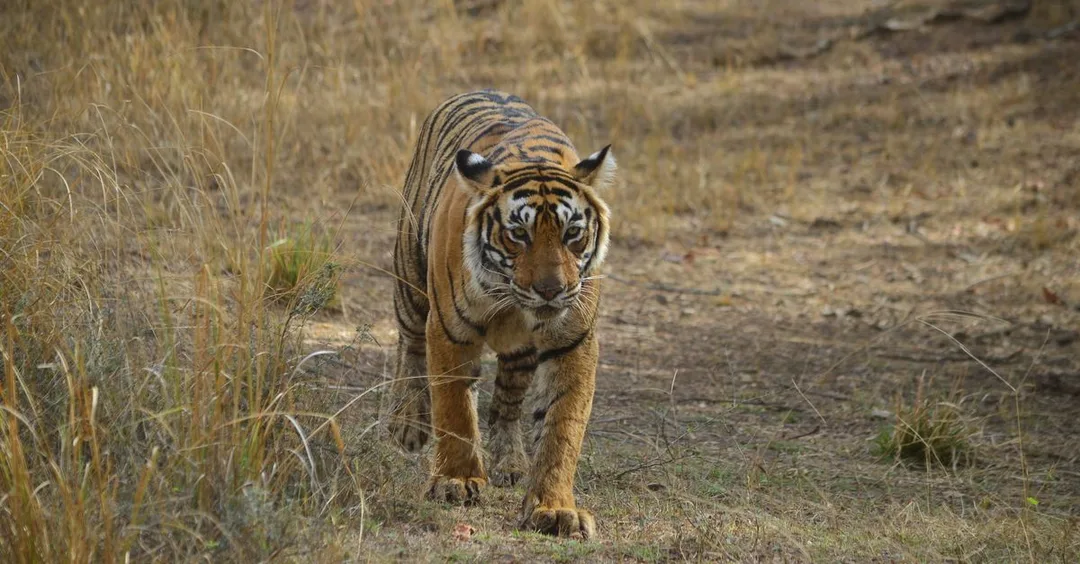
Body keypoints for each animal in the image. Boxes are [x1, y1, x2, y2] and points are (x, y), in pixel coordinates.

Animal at [386, 89, 615, 539]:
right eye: (518, 234)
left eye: (572, 234)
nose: (551, 290)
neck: (513, 301)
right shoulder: (450, 329)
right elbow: (455, 408)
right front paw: (456, 481)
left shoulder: (573, 341)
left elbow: (562, 427)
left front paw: (554, 508)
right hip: (411, 284)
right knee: (410, 347)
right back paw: (409, 424)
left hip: (520, 353)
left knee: (507, 403)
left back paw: (511, 462)